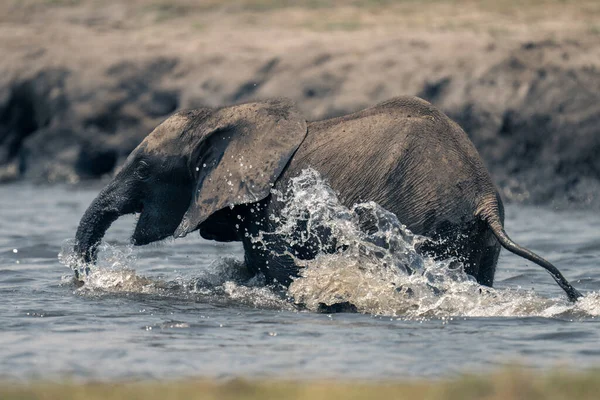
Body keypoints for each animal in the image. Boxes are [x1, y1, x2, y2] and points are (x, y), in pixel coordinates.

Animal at [72, 97, 584, 302]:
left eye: (142, 169)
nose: (85, 281)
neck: (225, 115)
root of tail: (486, 201)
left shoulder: (276, 211)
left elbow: (281, 273)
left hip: (425, 219)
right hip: (474, 240)